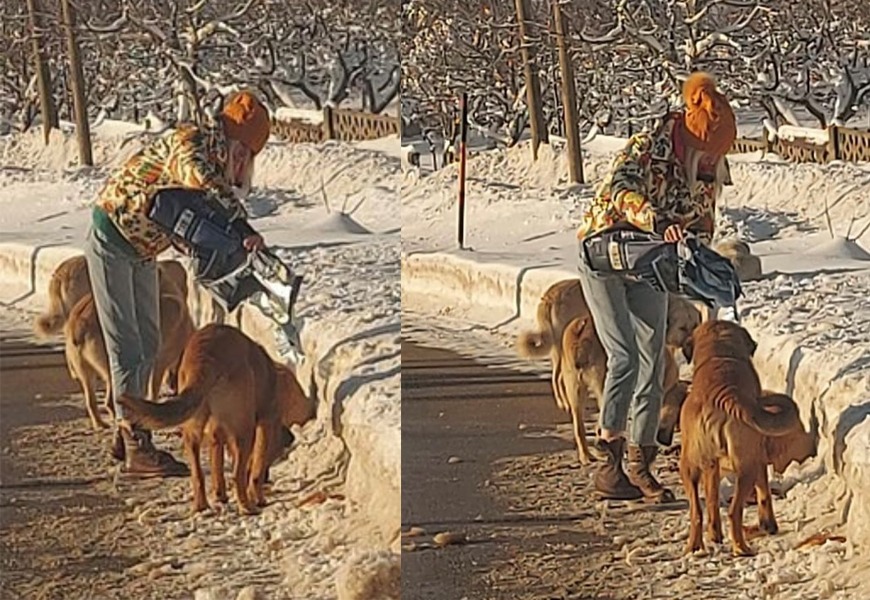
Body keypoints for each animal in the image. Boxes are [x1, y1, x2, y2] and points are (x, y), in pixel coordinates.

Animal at [62, 290, 196, 426]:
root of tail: (77, 324)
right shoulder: (159, 364)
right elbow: (153, 391)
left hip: (87, 374)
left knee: (91, 402)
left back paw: (101, 424)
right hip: (113, 369)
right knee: (109, 402)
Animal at [117, 324, 316, 516]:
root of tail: (206, 356)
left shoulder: (216, 434)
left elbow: (217, 465)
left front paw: (220, 495)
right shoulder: (264, 425)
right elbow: (256, 469)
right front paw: (258, 497)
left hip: (193, 428)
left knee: (197, 474)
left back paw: (201, 506)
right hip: (244, 431)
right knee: (237, 475)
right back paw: (247, 507)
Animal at [680, 322, 804, 556]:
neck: (719, 354)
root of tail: (719, 398)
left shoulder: (712, 467)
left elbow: (711, 501)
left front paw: (715, 535)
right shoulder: (759, 458)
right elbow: (764, 493)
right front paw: (769, 525)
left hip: (688, 466)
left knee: (697, 511)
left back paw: (695, 546)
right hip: (747, 465)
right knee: (734, 510)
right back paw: (741, 547)